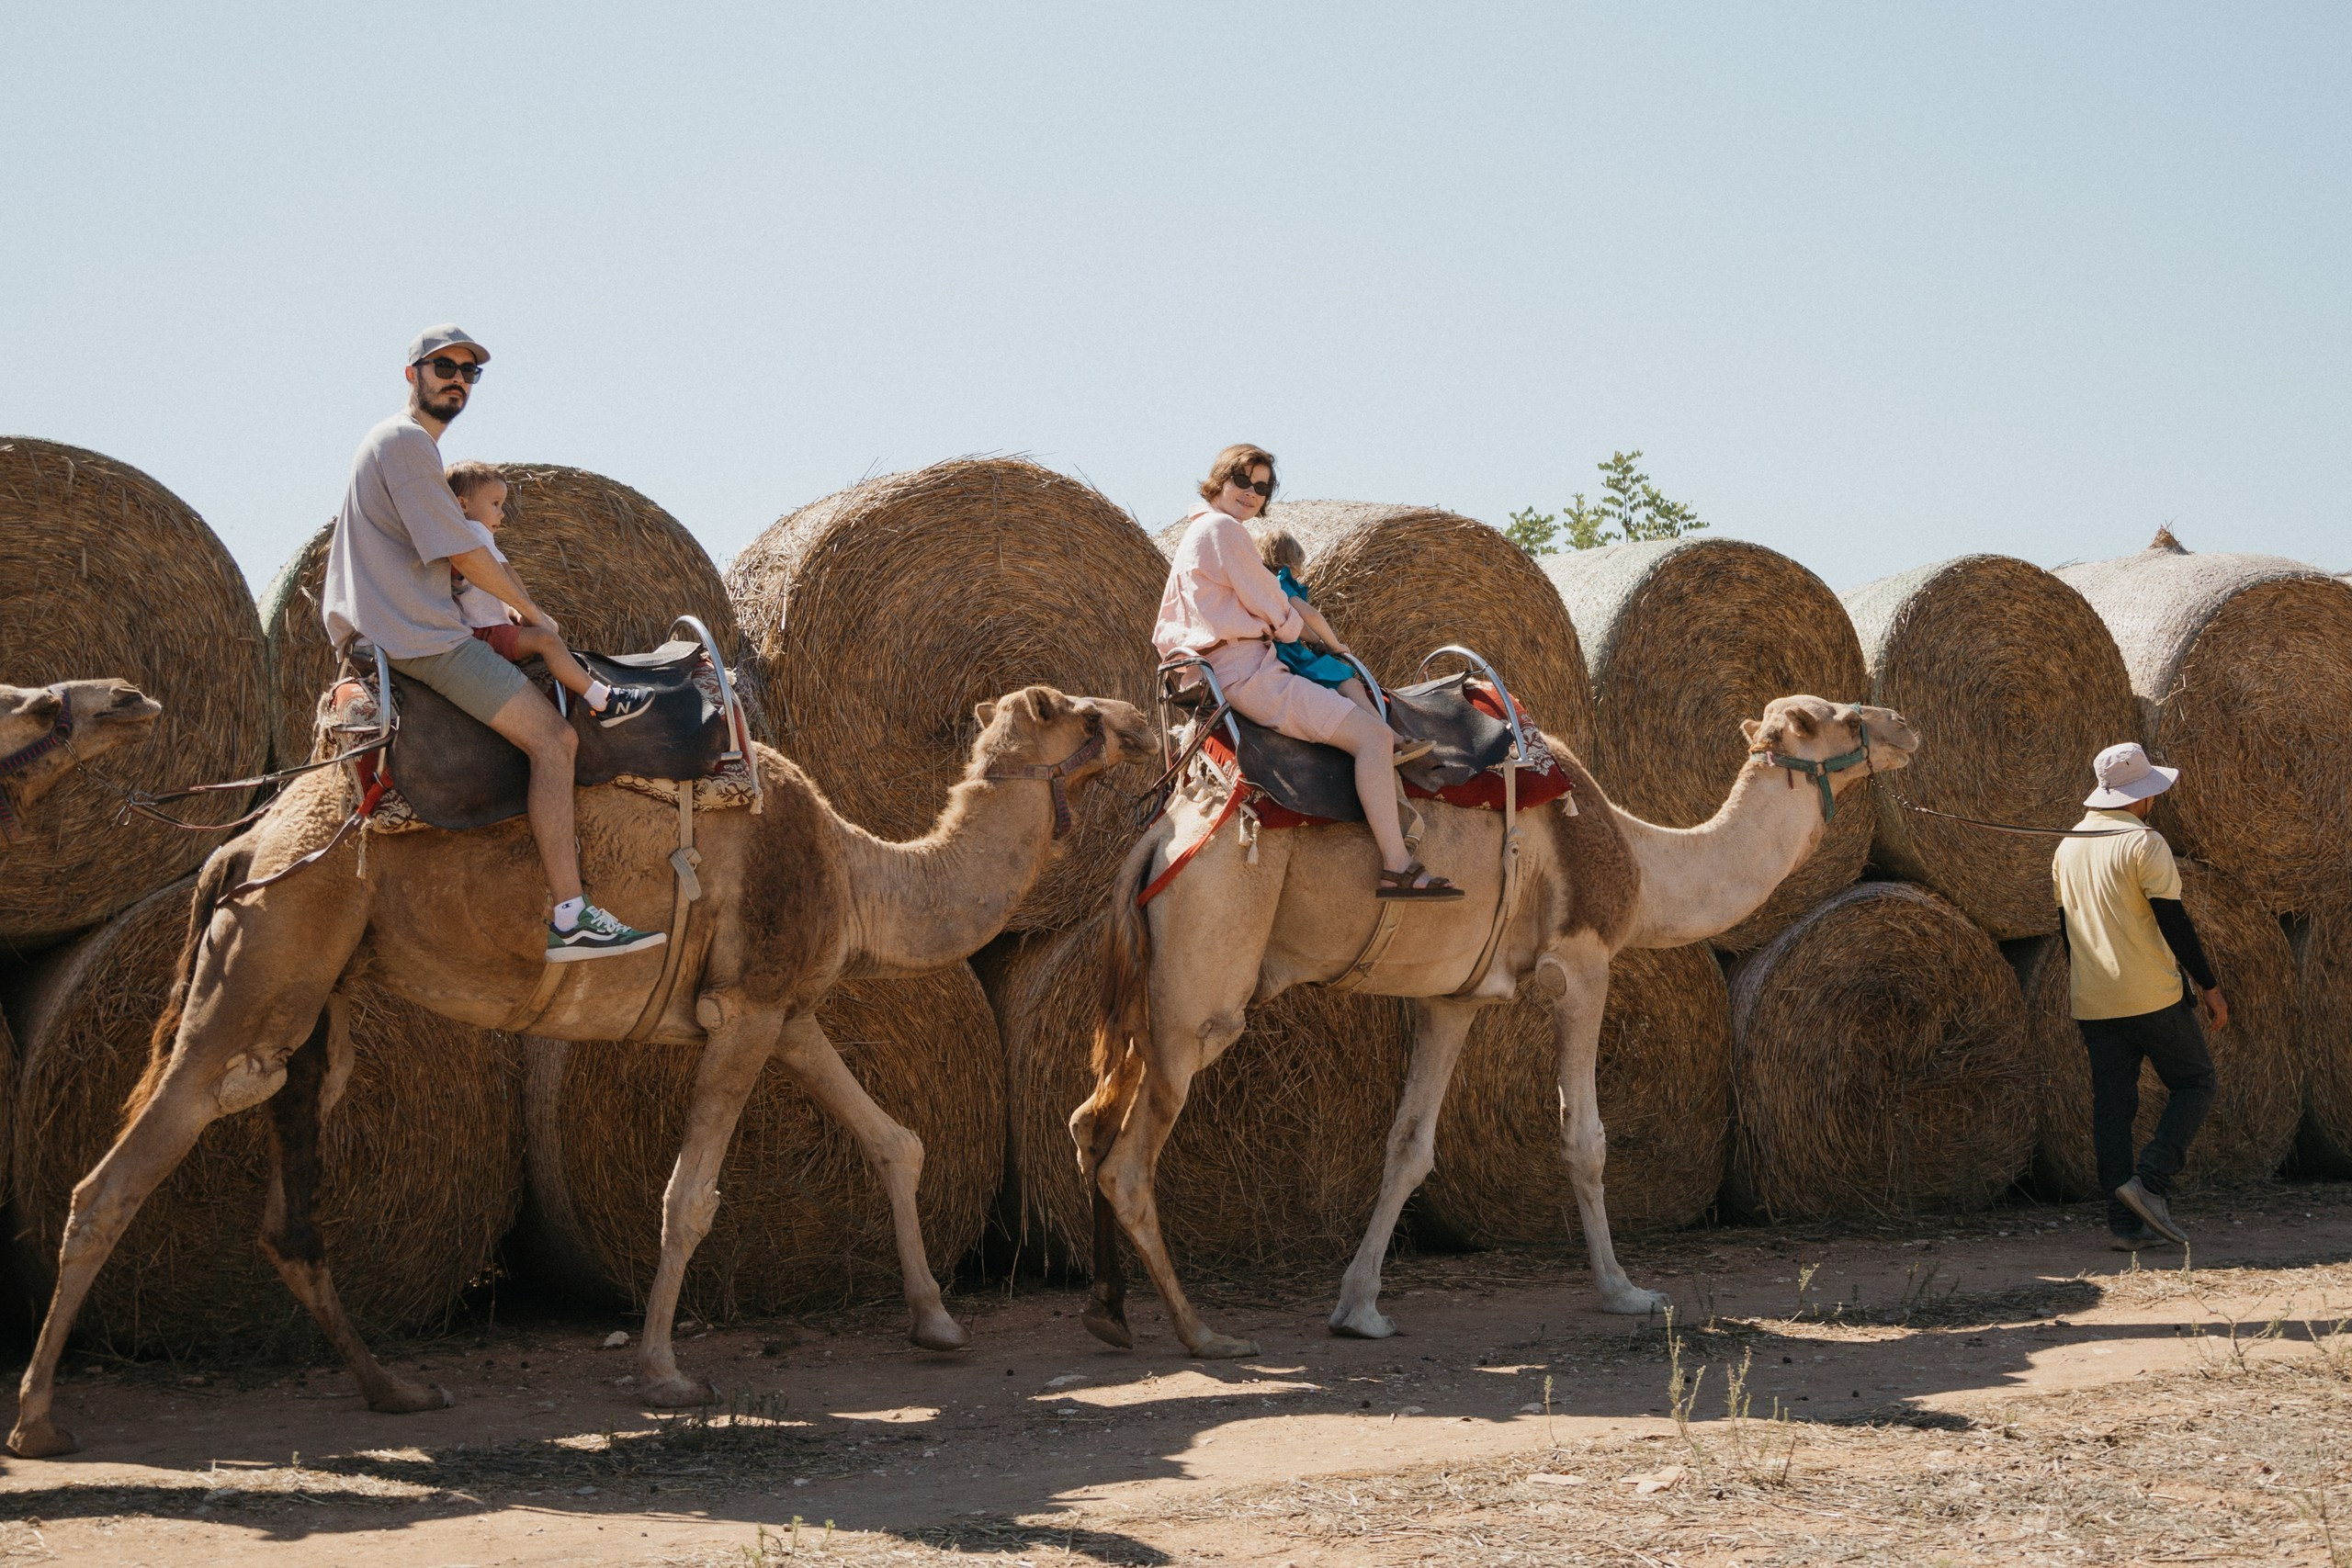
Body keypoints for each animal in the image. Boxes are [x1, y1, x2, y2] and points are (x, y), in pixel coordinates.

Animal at [1074, 694, 1919, 1358]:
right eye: (1837, 717)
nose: (1905, 726)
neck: (1640, 861)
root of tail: (1155, 841)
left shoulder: (1452, 998)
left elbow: (1409, 1147)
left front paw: (1359, 1308)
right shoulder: (1583, 963)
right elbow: (1584, 1138)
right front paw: (1625, 1290)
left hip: (1149, 997)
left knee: (1088, 1122)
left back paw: (1110, 1311)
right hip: (1202, 982)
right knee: (1129, 1161)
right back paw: (1203, 1333)